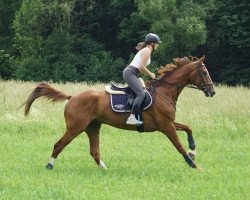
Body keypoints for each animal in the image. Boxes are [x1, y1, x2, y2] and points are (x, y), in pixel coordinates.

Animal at [22, 55, 216, 170]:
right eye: (205, 72)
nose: (212, 91)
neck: (164, 91)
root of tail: (72, 97)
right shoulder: (166, 126)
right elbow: (179, 146)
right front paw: (194, 164)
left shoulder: (168, 123)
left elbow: (188, 128)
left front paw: (193, 151)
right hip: (76, 127)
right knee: (59, 145)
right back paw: (49, 165)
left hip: (93, 127)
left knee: (94, 150)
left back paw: (104, 169)